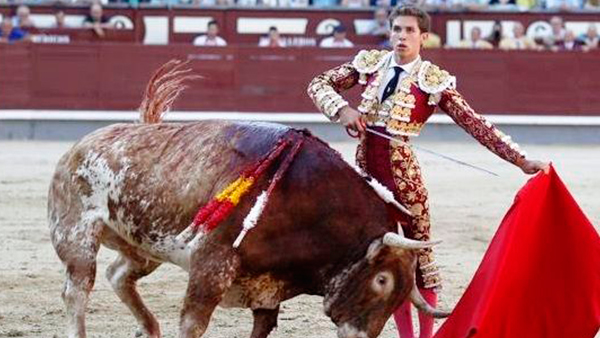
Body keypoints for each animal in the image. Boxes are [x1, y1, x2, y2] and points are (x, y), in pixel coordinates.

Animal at [49, 60, 448, 338]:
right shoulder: (210, 269)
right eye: (382, 281)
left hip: (143, 245)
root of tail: (80, 147)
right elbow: (192, 324)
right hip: (76, 234)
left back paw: (149, 328)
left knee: (118, 275)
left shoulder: (266, 291)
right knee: (76, 291)